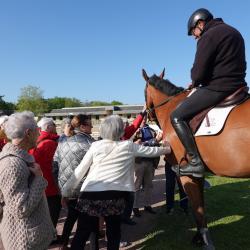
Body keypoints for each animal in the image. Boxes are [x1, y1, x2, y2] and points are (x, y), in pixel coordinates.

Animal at [143, 68, 250, 250]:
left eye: (144, 92)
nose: (147, 116)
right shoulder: (198, 175)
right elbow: (200, 206)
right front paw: (200, 237)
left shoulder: (186, 173)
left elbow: (197, 207)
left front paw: (204, 240)